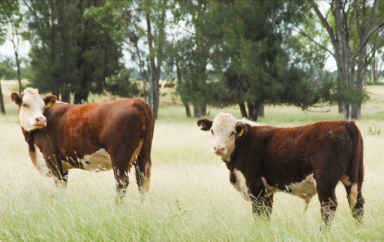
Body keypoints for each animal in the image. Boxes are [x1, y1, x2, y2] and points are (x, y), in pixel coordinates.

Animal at [11, 87, 154, 199]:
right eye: (25, 104)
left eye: (42, 106)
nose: (41, 119)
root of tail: (136, 101)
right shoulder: (63, 165)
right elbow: (64, 185)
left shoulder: (52, 158)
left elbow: (59, 184)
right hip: (142, 156)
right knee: (142, 182)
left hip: (120, 158)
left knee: (122, 183)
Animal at [200, 113, 364, 227]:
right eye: (212, 131)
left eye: (232, 132)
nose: (218, 148)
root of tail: (345, 123)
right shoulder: (266, 191)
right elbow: (266, 213)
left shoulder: (255, 186)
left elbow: (258, 213)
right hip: (354, 177)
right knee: (357, 204)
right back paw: (358, 230)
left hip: (325, 180)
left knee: (329, 206)